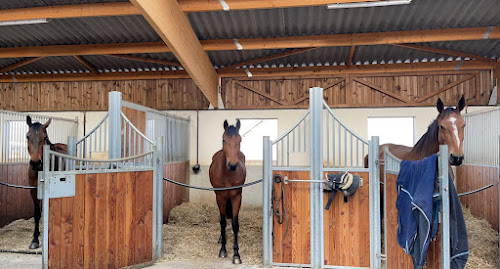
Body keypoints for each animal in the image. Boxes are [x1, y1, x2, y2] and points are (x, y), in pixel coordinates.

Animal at [26, 114, 67, 248]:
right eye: (27, 136)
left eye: (45, 137)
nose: (35, 163)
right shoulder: (33, 190)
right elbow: (37, 213)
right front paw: (35, 239)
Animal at [208, 119, 245, 264]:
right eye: (224, 140)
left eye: (240, 140)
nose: (233, 165)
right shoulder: (220, 197)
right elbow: (223, 222)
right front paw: (223, 250)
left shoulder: (236, 197)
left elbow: (235, 224)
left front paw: (236, 254)